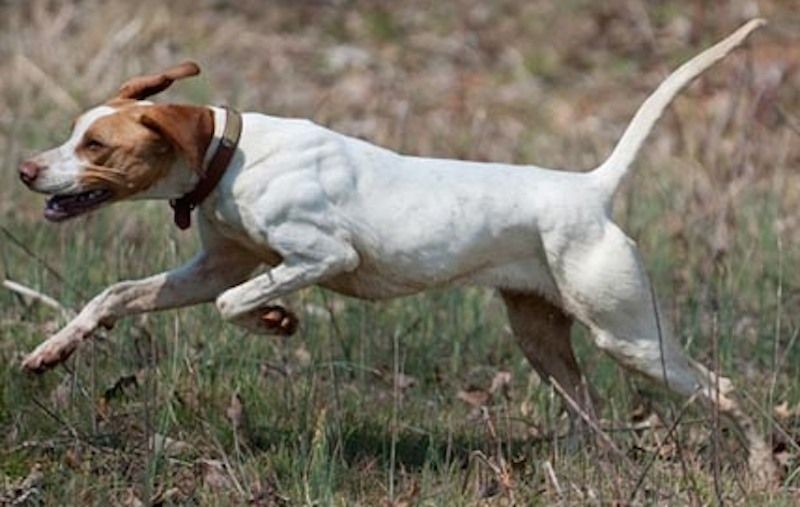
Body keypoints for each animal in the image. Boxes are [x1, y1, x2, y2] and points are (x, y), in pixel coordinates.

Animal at [17, 18, 776, 484]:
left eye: (96, 145)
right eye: (74, 132)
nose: (25, 169)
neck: (231, 155)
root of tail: (590, 187)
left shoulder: (322, 258)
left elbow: (238, 302)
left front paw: (277, 320)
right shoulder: (212, 267)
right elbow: (114, 296)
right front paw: (50, 351)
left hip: (632, 336)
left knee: (725, 389)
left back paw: (766, 465)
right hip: (543, 340)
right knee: (588, 411)